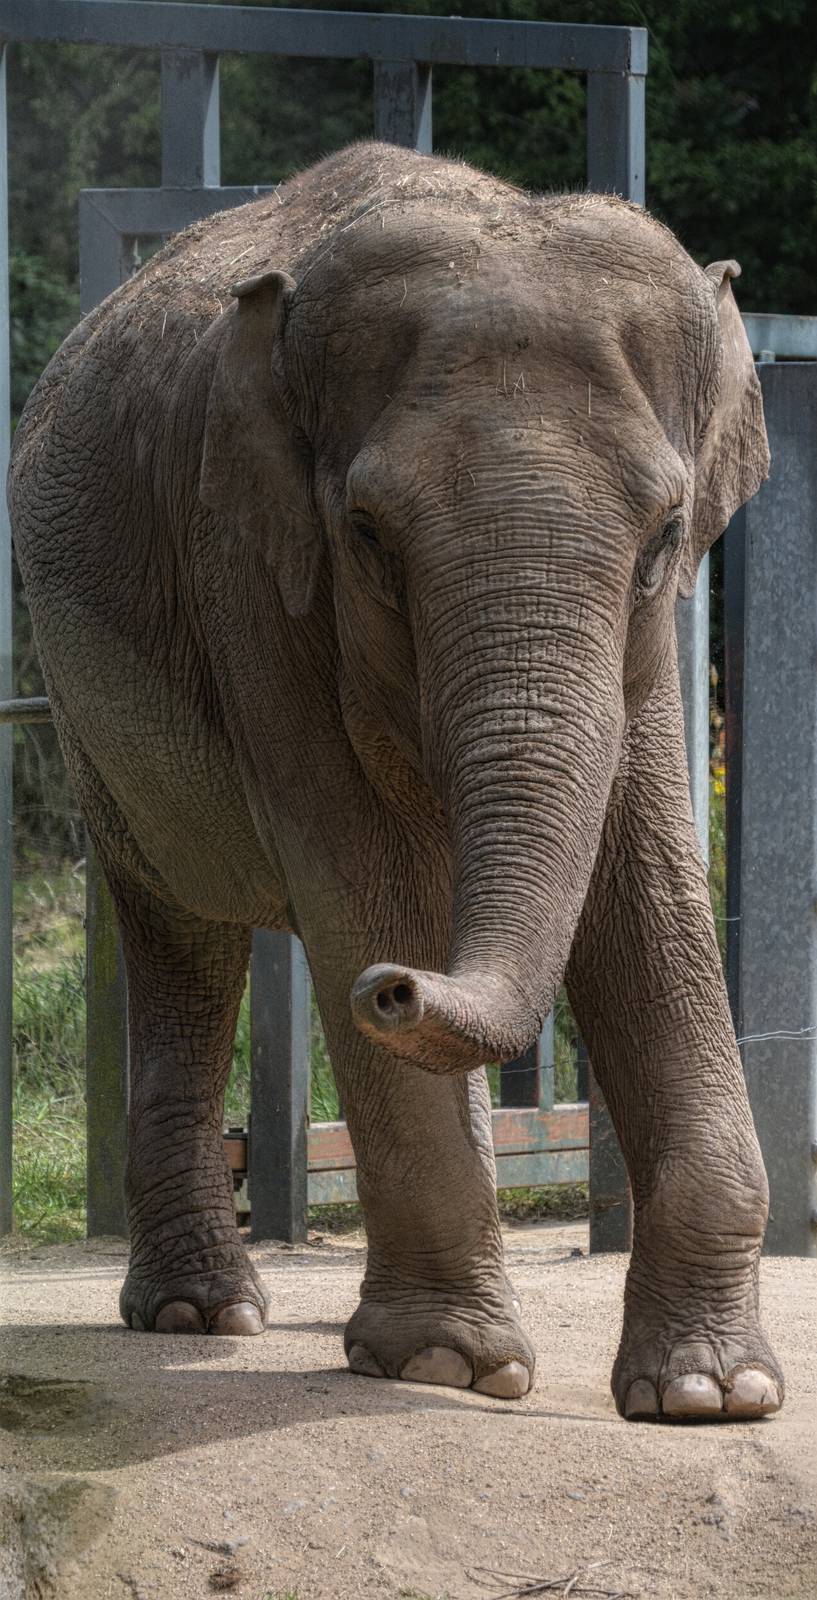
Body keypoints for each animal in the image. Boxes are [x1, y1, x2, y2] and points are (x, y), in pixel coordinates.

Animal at [9, 140, 783, 1420]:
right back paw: (202, 1314)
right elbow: (355, 875)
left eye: (667, 533)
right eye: (369, 535)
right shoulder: (251, 572)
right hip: (89, 719)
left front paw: (711, 1395)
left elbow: (647, 891)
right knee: (182, 930)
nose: (394, 987)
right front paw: (445, 1367)